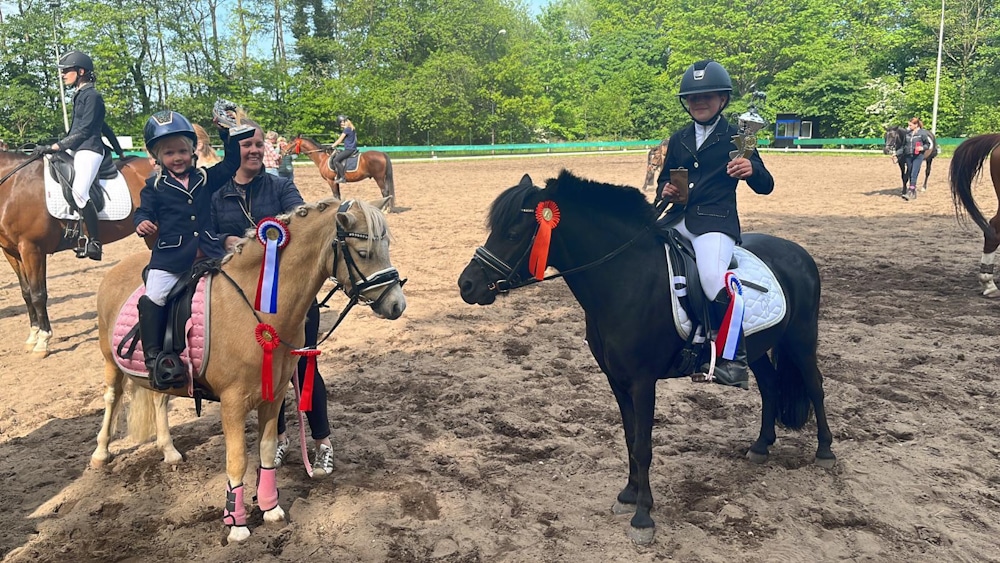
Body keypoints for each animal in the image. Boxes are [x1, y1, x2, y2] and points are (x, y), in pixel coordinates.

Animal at [0, 152, 152, 360]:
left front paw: (43, 342)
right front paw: (32, 338)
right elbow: (26, 293)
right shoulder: (12, 252)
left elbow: (38, 294)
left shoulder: (32, 249)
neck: (12, 187)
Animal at [90, 197, 408, 540]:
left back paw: (170, 450)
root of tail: (115, 270)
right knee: (112, 399)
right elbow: (237, 460)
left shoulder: (274, 395)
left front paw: (270, 509)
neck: (259, 310)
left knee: (159, 399)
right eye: (363, 253)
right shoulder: (232, 403)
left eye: (386, 247)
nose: (397, 304)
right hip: (109, 360)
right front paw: (236, 524)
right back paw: (101, 454)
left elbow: (267, 450)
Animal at [458, 172, 836, 548]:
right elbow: (629, 438)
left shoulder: (642, 382)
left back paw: (825, 452)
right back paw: (760, 446)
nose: (467, 285)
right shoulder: (616, 379)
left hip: (801, 338)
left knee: (815, 386)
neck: (625, 277)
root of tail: (797, 251)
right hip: (757, 347)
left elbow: (642, 445)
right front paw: (628, 495)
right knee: (770, 386)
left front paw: (642, 517)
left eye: (513, 233)